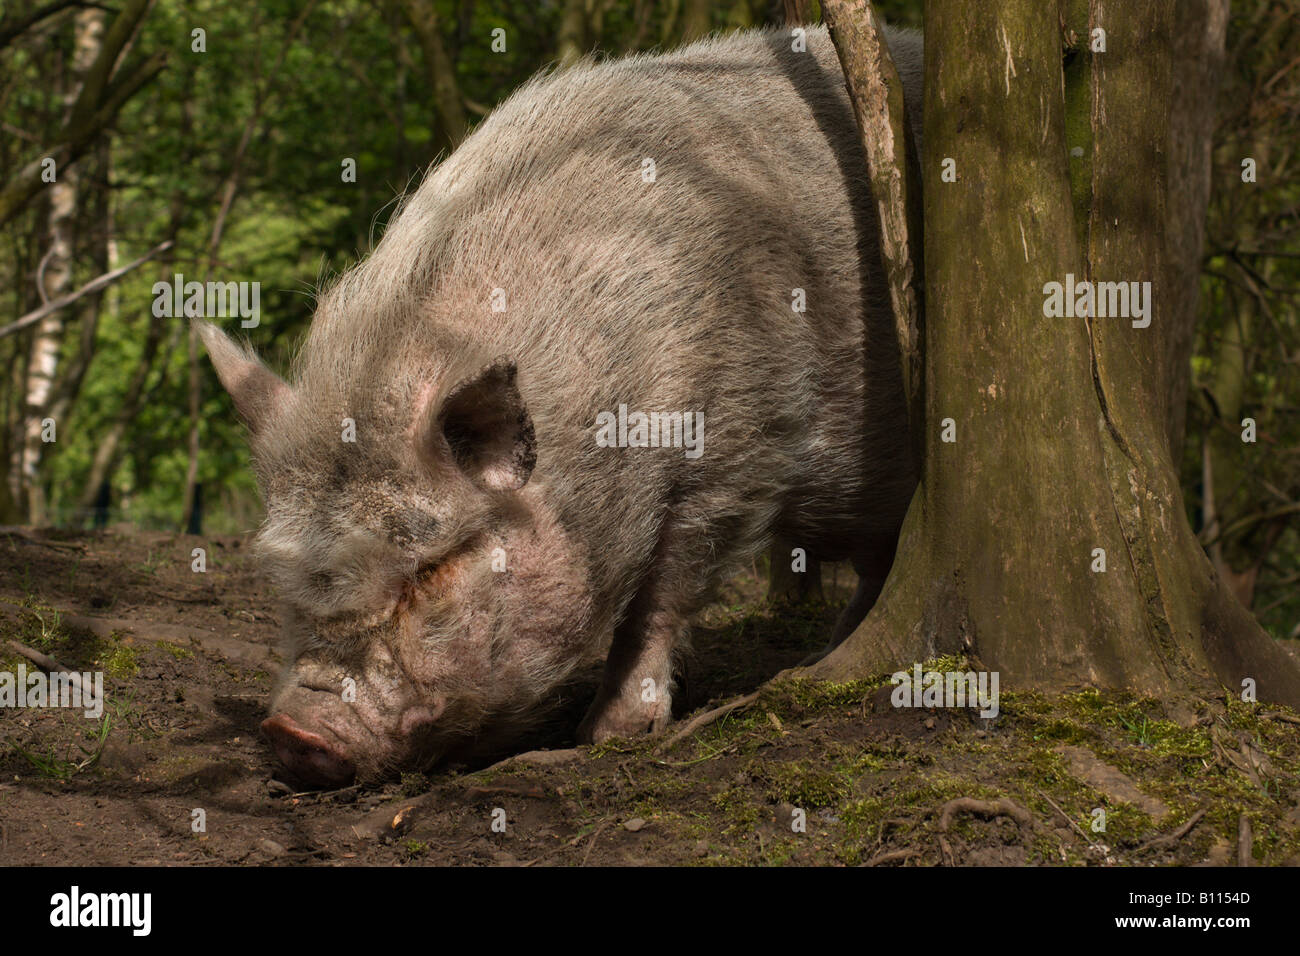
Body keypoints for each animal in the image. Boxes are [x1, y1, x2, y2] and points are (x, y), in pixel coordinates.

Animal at [197, 22, 920, 785]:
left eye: (431, 568)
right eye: (283, 576)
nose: (292, 732)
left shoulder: (736, 449)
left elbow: (663, 595)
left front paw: (607, 736)